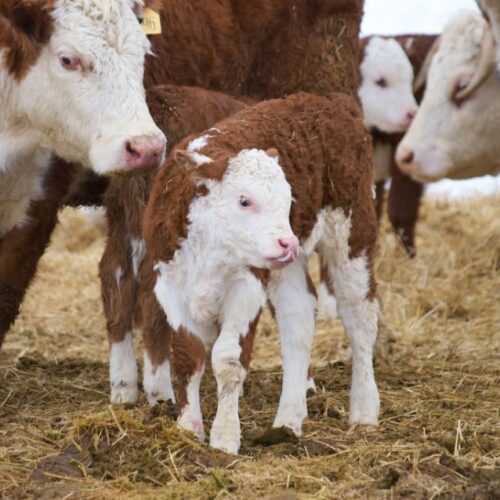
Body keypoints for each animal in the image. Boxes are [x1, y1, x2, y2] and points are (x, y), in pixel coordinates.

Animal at [142, 92, 378, 456]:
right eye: (244, 201)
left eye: (288, 200)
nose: (288, 242)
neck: (210, 248)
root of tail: (329, 103)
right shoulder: (169, 284)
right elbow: (186, 355)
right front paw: (188, 428)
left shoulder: (247, 286)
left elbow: (227, 359)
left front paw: (224, 438)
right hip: (287, 265)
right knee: (298, 315)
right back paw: (287, 421)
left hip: (353, 229)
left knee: (359, 315)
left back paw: (364, 411)